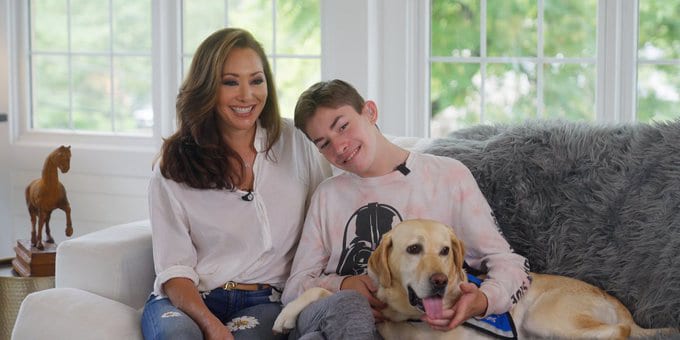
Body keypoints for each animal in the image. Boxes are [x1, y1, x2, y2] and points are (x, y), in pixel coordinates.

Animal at [276, 219, 676, 338]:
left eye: (445, 251)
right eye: (413, 249)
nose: (439, 281)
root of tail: (626, 311)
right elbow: (317, 287)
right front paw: (286, 315)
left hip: (544, 315)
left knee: (616, 333)